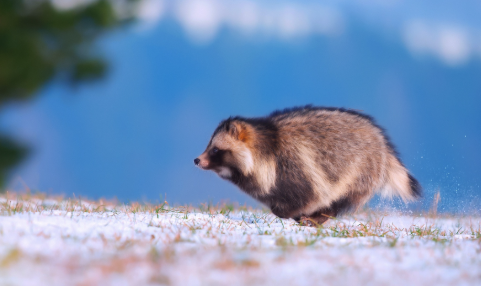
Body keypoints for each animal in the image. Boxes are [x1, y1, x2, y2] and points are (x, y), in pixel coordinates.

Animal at [193, 106, 418, 225]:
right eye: (209, 146)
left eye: (215, 150)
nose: (196, 160)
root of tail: (382, 142)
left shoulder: (295, 167)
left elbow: (307, 196)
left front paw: (298, 214)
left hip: (361, 171)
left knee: (342, 199)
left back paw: (319, 217)